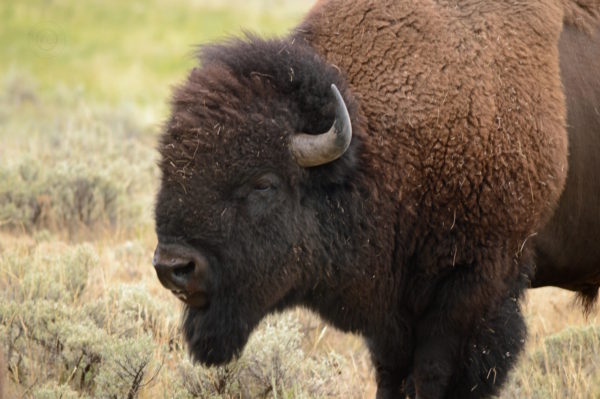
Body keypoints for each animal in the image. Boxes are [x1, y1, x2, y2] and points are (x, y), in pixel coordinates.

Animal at [154, 0, 600, 399]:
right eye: (167, 166)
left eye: (263, 183)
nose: (174, 267)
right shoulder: (392, 313)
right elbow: (392, 376)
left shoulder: (475, 288)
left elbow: (436, 376)